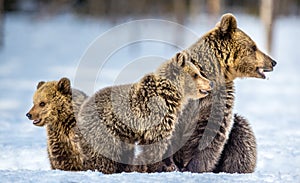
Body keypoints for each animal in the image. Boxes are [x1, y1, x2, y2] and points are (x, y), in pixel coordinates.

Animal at [76, 50, 212, 172]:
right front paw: (160, 167)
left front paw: (170, 165)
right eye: (195, 74)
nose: (210, 83)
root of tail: (82, 108)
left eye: (199, 72)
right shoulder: (155, 117)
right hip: (105, 131)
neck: (170, 95)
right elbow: (155, 145)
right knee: (105, 154)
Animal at [151, 12, 278, 173]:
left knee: (242, 136)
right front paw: (167, 166)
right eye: (254, 46)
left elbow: (212, 134)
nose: (273, 62)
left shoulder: (218, 101)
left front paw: (195, 167)